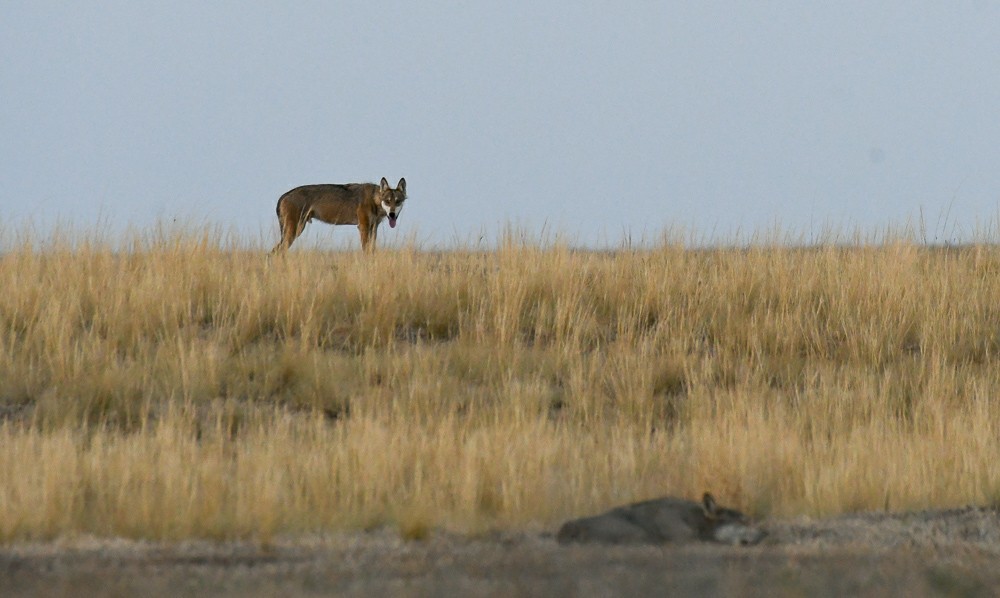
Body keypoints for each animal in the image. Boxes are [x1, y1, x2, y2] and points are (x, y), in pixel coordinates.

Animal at [270, 177, 406, 254]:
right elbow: (366, 251)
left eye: (397, 202)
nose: (392, 214)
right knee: (275, 252)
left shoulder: (373, 228)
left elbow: (372, 251)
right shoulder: (363, 227)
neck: (374, 199)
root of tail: (284, 195)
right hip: (294, 232)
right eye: (387, 201)